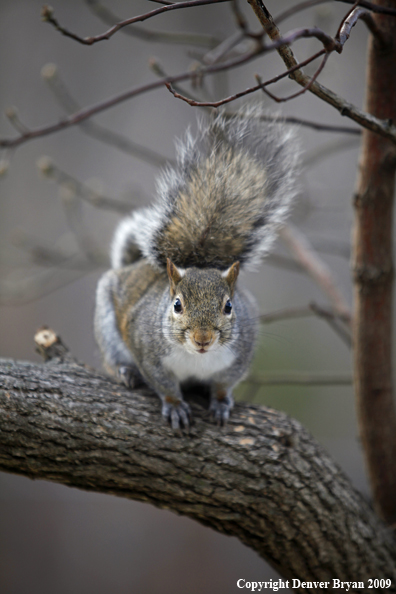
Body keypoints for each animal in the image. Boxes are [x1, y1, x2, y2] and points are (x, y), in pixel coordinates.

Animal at [94, 106, 296, 428]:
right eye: (177, 305)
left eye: (229, 306)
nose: (203, 339)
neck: (197, 358)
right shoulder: (148, 354)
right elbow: (164, 384)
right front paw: (175, 405)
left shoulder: (239, 356)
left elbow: (224, 383)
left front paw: (221, 402)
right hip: (106, 324)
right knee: (112, 359)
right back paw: (126, 372)